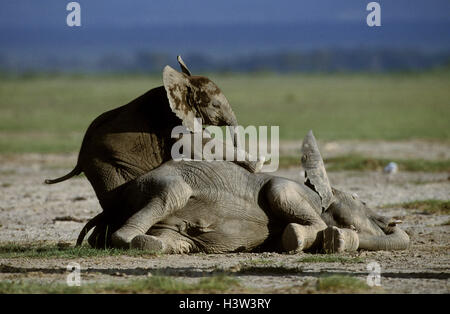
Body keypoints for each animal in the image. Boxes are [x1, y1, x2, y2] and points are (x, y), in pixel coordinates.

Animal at [78, 131, 412, 255]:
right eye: (359, 199)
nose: (391, 221)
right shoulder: (293, 190)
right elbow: (280, 192)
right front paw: (311, 237)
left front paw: (330, 240)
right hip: (157, 185)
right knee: (172, 193)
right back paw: (139, 242)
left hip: (171, 230)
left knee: (178, 242)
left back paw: (154, 244)